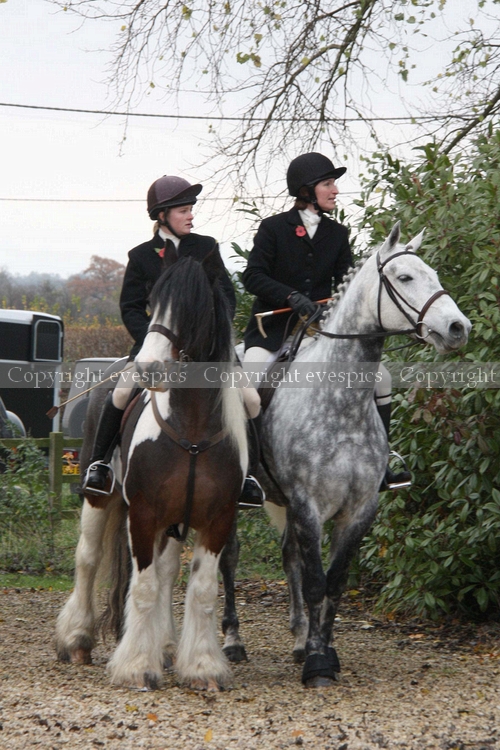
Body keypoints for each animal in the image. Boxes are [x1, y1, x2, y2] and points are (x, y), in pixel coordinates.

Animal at [55, 251, 248, 691]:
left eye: (194, 309)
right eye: (151, 304)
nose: (149, 369)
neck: (192, 429)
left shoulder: (216, 520)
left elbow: (201, 591)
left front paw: (202, 667)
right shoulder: (143, 514)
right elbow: (142, 587)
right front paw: (136, 667)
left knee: (165, 572)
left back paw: (165, 645)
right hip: (100, 498)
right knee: (88, 558)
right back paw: (77, 639)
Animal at [221, 222, 471, 687]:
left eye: (433, 273)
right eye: (405, 277)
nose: (457, 328)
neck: (342, 404)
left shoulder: (358, 509)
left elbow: (334, 582)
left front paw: (322, 650)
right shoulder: (309, 505)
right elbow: (317, 582)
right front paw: (319, 666)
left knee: (289, 557)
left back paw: (299, 639)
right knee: (228, 558)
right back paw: (232, 641)